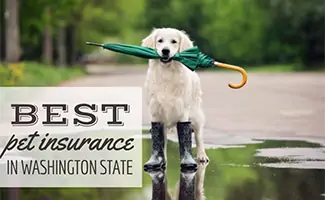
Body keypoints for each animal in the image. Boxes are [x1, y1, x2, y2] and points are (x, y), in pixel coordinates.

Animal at [141, 27, 208, 170]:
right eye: (160, 41)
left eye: (174, 41)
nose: (165, 51)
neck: (167, 73)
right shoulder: (155, 111)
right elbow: (159, 140)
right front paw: (158, 161)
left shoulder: (183, 111)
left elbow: (186, 135)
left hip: (196, 115)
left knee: (199, 136)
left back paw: (201, 156)